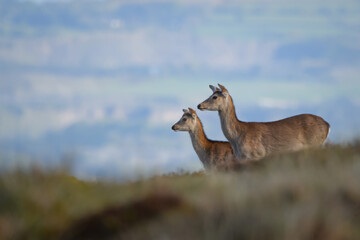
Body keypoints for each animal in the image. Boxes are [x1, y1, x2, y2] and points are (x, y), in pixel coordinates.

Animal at [198, 83, 330, 162]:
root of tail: (327, 124)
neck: (237, 138)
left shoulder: (257, 154)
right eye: (211, 94)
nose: (199, 105)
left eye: (214, 97)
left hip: (315, 142)